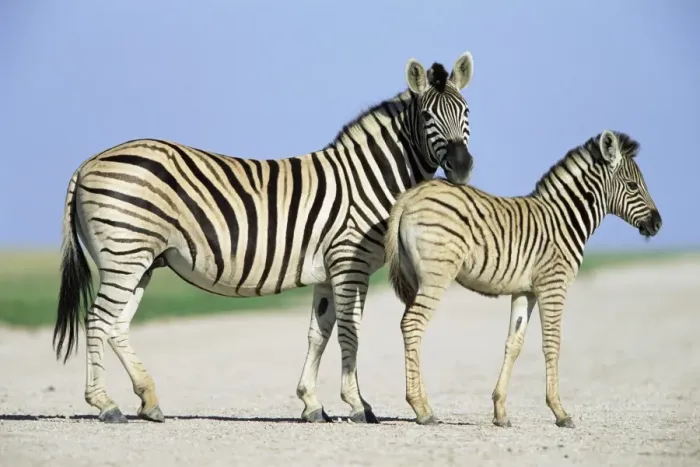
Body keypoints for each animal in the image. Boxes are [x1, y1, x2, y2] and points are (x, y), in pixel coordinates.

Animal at [53, 51, 476, 424]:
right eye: (427, 116)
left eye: (467, 112)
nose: (461, 166)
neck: (367, 178)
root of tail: (87, 163)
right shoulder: (349, 262)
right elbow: (350, 332)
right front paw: (358, 406)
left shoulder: (327, 273)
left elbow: (319, 334)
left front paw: (312, 404)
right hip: (125, 253)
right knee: (98, 319)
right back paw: (105, 404)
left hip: (138, 260)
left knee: (116, 325)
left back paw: (148, 401)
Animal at [384, 130, 662, 428]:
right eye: (632, 186)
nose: (657, 224)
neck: (564, 221)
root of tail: (410, 196)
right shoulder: (553, 285)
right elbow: (552, 343)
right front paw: (560, 412)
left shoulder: (524, 292)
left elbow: (513, 344)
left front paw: (500, 412)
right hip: (436, 275)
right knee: (413, 324)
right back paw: (422, 409)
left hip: (415, 278)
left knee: (412, 328)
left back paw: (421, 404)